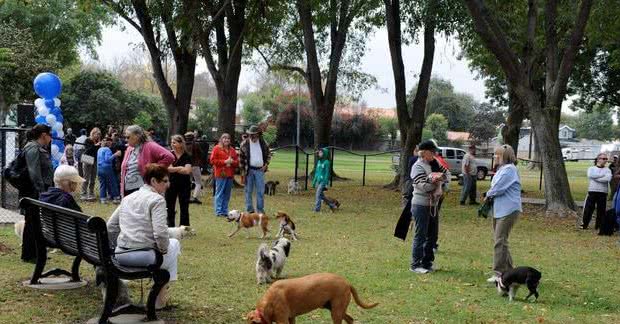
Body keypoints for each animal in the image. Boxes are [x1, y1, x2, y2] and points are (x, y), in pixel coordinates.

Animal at [245, 272, 376, 322]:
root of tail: (347, 282)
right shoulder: (291, 318)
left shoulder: (283, 320)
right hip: (335, 309)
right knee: (350, 319)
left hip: (336, 311)